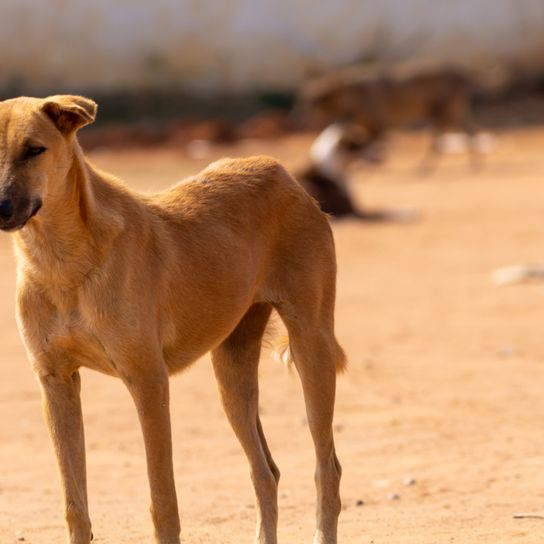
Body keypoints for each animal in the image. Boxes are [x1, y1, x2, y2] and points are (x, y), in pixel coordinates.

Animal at [0, 95, 346, 544]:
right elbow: (75, 507)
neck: (63, 263)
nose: (0, 209)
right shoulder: (56, 383)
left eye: (34, 150)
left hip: (311, 350)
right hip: (232, 374)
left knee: (327, 469)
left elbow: (163, 503)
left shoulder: (148, 381)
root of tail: (277, 169)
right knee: (265, 472)